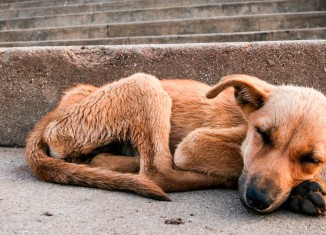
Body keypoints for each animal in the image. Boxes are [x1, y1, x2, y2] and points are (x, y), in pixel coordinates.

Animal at [23, 73, 326, 215]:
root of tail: (54, 112)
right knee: (158, 172)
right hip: (145, 85)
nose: (257, 200)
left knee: (104, 159)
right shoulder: (194, 143)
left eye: (312, 159)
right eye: (262, 134)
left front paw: (305, 190)